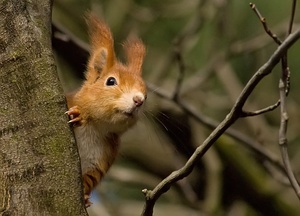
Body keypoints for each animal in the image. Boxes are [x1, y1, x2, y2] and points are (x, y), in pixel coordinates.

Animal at [65, 13, 146, 206]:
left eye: (146, 92)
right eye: (110, 81)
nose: (139, 100)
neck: (95, 127)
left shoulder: (102, 157)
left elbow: (90, 177)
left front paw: (85, 196)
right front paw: (78, 114)